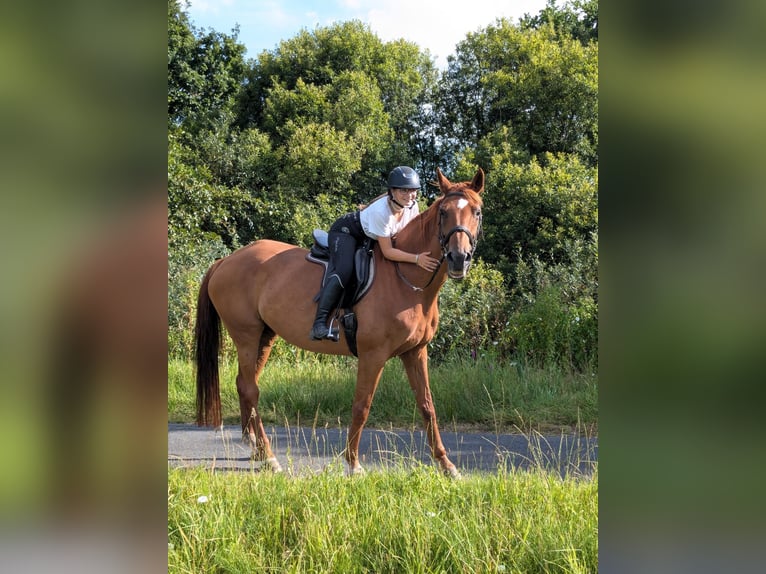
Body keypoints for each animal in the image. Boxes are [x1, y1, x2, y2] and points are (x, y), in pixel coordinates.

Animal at [195, 169, 484, 480]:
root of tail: (225, 260)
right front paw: (353, 463)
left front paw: (446, 465)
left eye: (477, 212)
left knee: (245, 385)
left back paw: (257, 449)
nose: (458, 259)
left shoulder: (415, 352)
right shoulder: (372, 355)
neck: (406, 280)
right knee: (250, 388)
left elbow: (427, 406)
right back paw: (270, 456)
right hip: (246, 336)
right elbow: (362, 406)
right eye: (443, 212)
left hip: (264, 336)